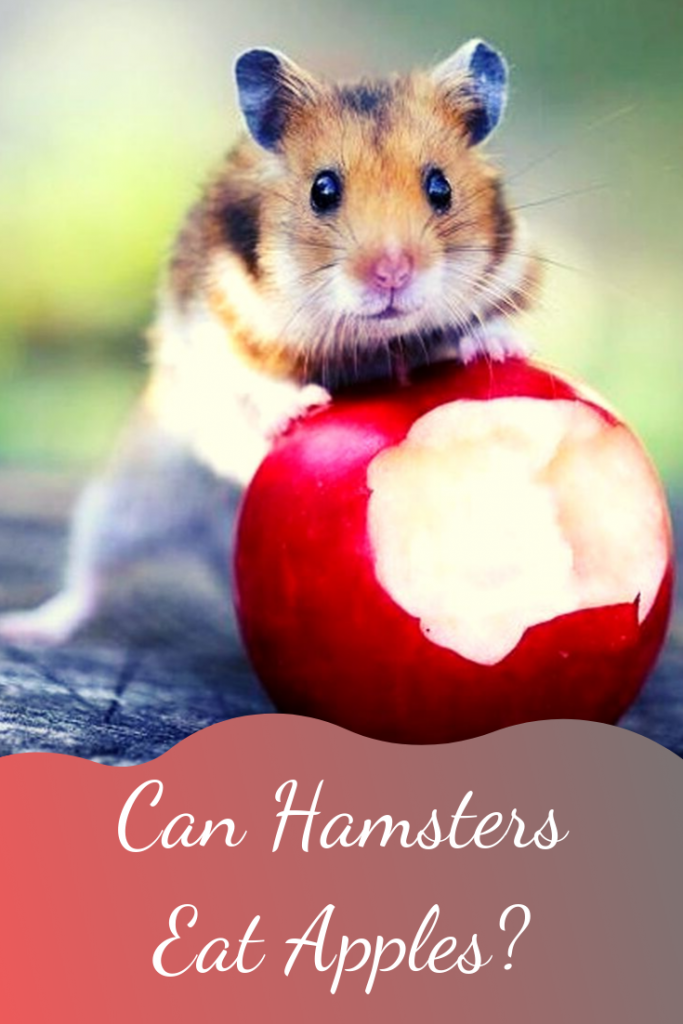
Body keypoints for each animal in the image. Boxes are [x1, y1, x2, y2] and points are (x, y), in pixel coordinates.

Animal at [0, 39, 541, 645]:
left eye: (440, 187)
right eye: (322, 190)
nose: (392, 274)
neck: (368, 344)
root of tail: (213, 548)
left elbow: (478, 325)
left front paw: (498, 346)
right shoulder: (210, 330)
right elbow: (246, 382)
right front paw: (301, 407)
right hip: (130, 495)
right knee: (87, 576)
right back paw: (25, 628)